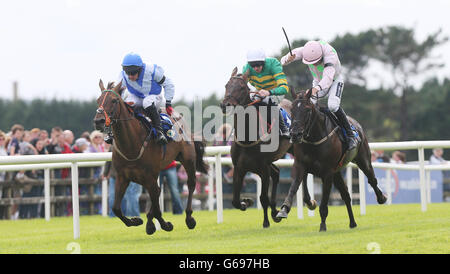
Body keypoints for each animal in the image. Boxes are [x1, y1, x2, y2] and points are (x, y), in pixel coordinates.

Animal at [94, 80, 209, 234]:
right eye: (98, 100)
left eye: (114, 100)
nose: (99, 121)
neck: (131, 145)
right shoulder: (122, 177)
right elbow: (116, 208)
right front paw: (136, 220)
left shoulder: (149, 176)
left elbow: (157, 206)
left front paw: (165, 224)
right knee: (157, 192)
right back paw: (149, 221)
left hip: (187, 159)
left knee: (190, 184)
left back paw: (189, 218)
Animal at [219, 67, 294, 228]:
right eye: (227, 85)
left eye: (242, 87)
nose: (225, 104)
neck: (247, 139)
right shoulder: (239, 168)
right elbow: (235, 200)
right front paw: (246, 202)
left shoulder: (263, 169)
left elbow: (263, 197)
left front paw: (265, 222)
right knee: (276, 173)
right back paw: (275, 210)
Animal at [278, 89, 386, 231]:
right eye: (291, 109)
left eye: (307, 110)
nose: (295, 134)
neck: (314, 139)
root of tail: (356, 124)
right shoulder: (300, 165)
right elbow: (294, 187)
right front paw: (283, 210)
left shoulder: (328, 173)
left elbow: (324, 203)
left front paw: (322, 226)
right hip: (337, 172)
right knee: (346, 195)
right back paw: (352, 222)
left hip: (363, 159)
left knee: (372, 180)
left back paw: (381, 198)